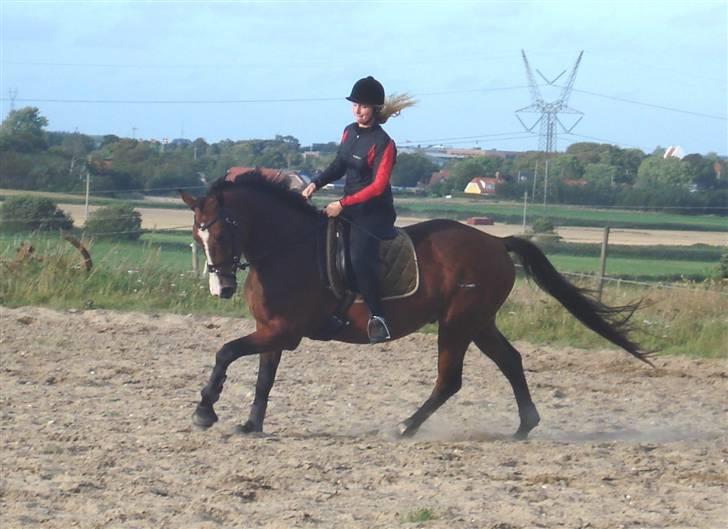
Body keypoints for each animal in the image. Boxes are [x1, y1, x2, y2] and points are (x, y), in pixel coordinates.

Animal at [179, 172, 652, 438]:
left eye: (219, 231)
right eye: (196, 233)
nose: (220, 288)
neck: (286, 248)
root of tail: (496, 242)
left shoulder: (284, 331)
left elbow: (225, 352)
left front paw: (205, 411)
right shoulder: (271, 330)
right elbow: (263, 378)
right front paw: (251, 425)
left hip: (457, 323)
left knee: (450, 380)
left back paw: (406, 426)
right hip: (479, 322)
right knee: (511, 361)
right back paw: (524, 427)